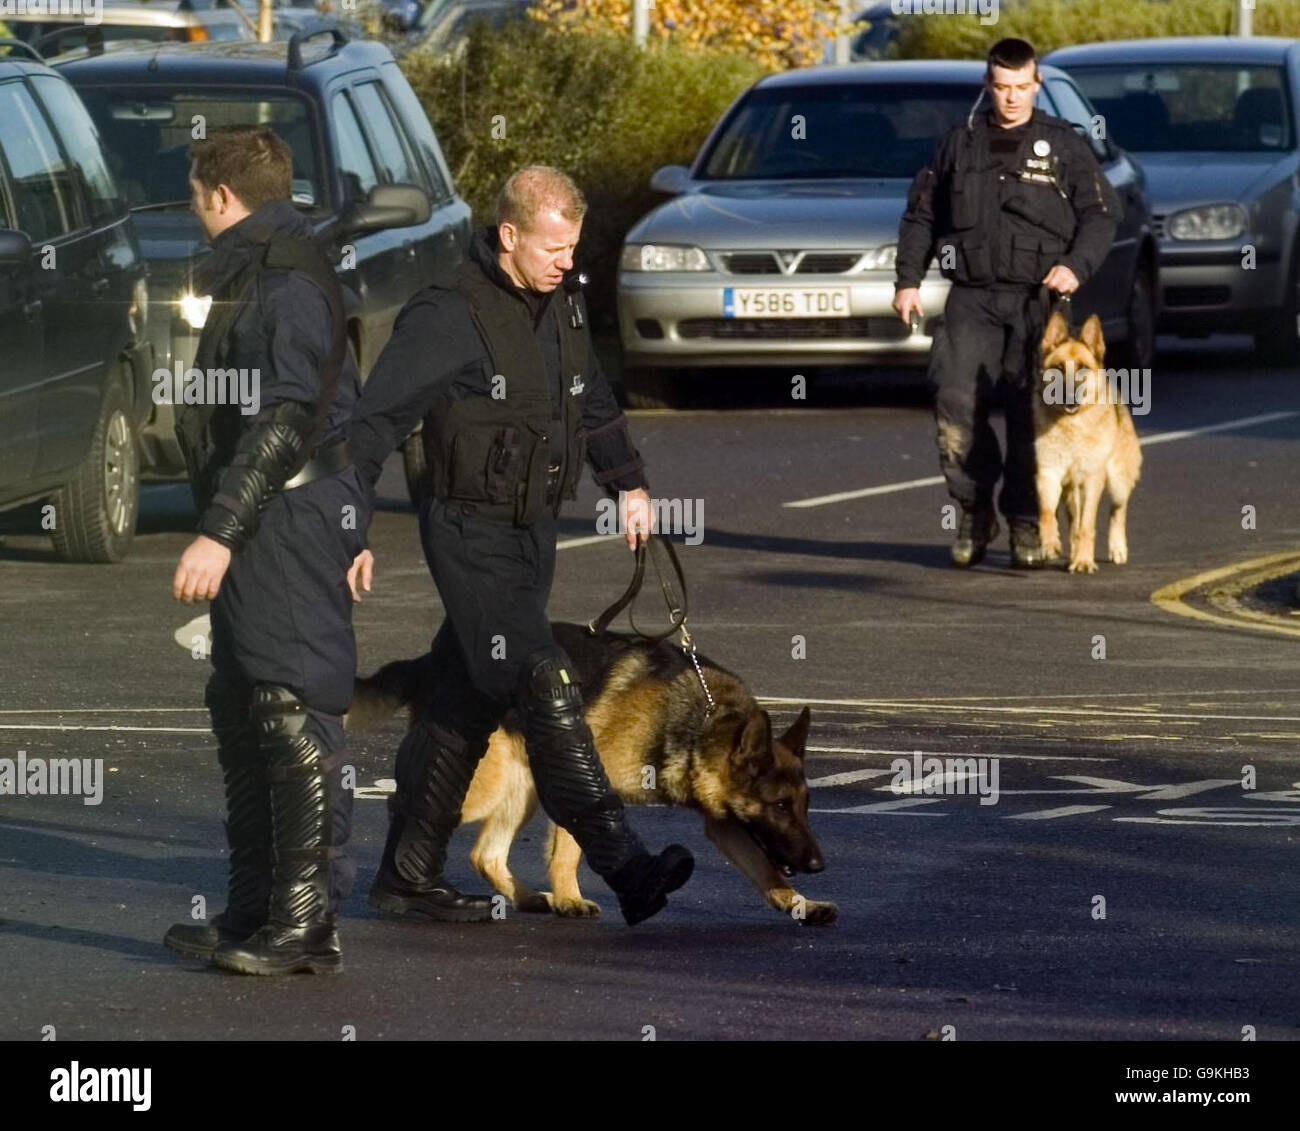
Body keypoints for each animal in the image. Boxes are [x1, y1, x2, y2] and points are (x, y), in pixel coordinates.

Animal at [348, 624, 832, 925]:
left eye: (804, 806)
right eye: (779, 805)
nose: (818, 865)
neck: (703, 722)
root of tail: (431, 659)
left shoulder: (725, 826)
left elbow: (766, 872)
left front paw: (802, 905)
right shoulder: (586, 774)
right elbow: (568, 849)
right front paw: (571, 899)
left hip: (523, 786)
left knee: (485, 854)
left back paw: (525, 898)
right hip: (488, 783)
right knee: (408, 803)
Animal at [1034, 309, 1138, 574]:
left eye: (1082, 368)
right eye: (1058, 368)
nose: (1070, 396)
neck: (1072, 425)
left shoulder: (1092, 479)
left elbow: (1087, 525)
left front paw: (1083, 560)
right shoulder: (1048, 473)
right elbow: (1046, 512)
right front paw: (1049, 543)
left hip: (1118, 482)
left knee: (1118, 511)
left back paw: (1116, 549)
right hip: (1070, 492)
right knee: (1073, 521)